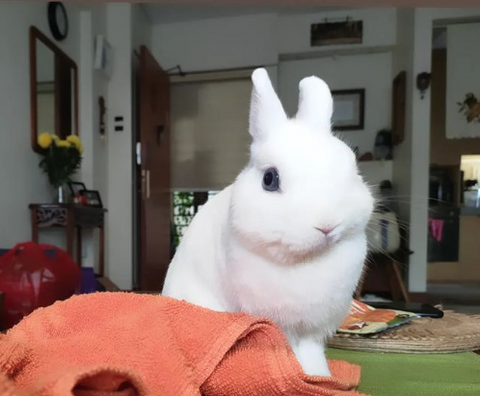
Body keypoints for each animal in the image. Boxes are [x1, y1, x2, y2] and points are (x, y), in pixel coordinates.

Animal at [164, 69, 376, 378]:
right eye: (270, 179)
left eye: (351, 169)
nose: (326, 225)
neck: (306, 259)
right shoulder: (277, 320)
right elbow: (288, 350)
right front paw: (299, 376)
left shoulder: (313, 328)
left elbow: (311, 352)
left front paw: (320, 377)